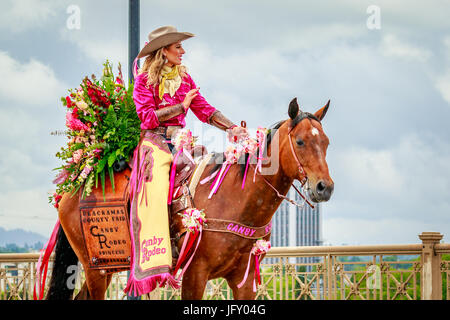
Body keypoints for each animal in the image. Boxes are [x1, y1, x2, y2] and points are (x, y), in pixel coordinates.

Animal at [46, 98, 334, 300]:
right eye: (300, 141)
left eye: (327, 142)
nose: (325, 187)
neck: (234, 199)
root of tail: (73, 189)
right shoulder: (195, 273)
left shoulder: (244, 278)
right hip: (97, 268)